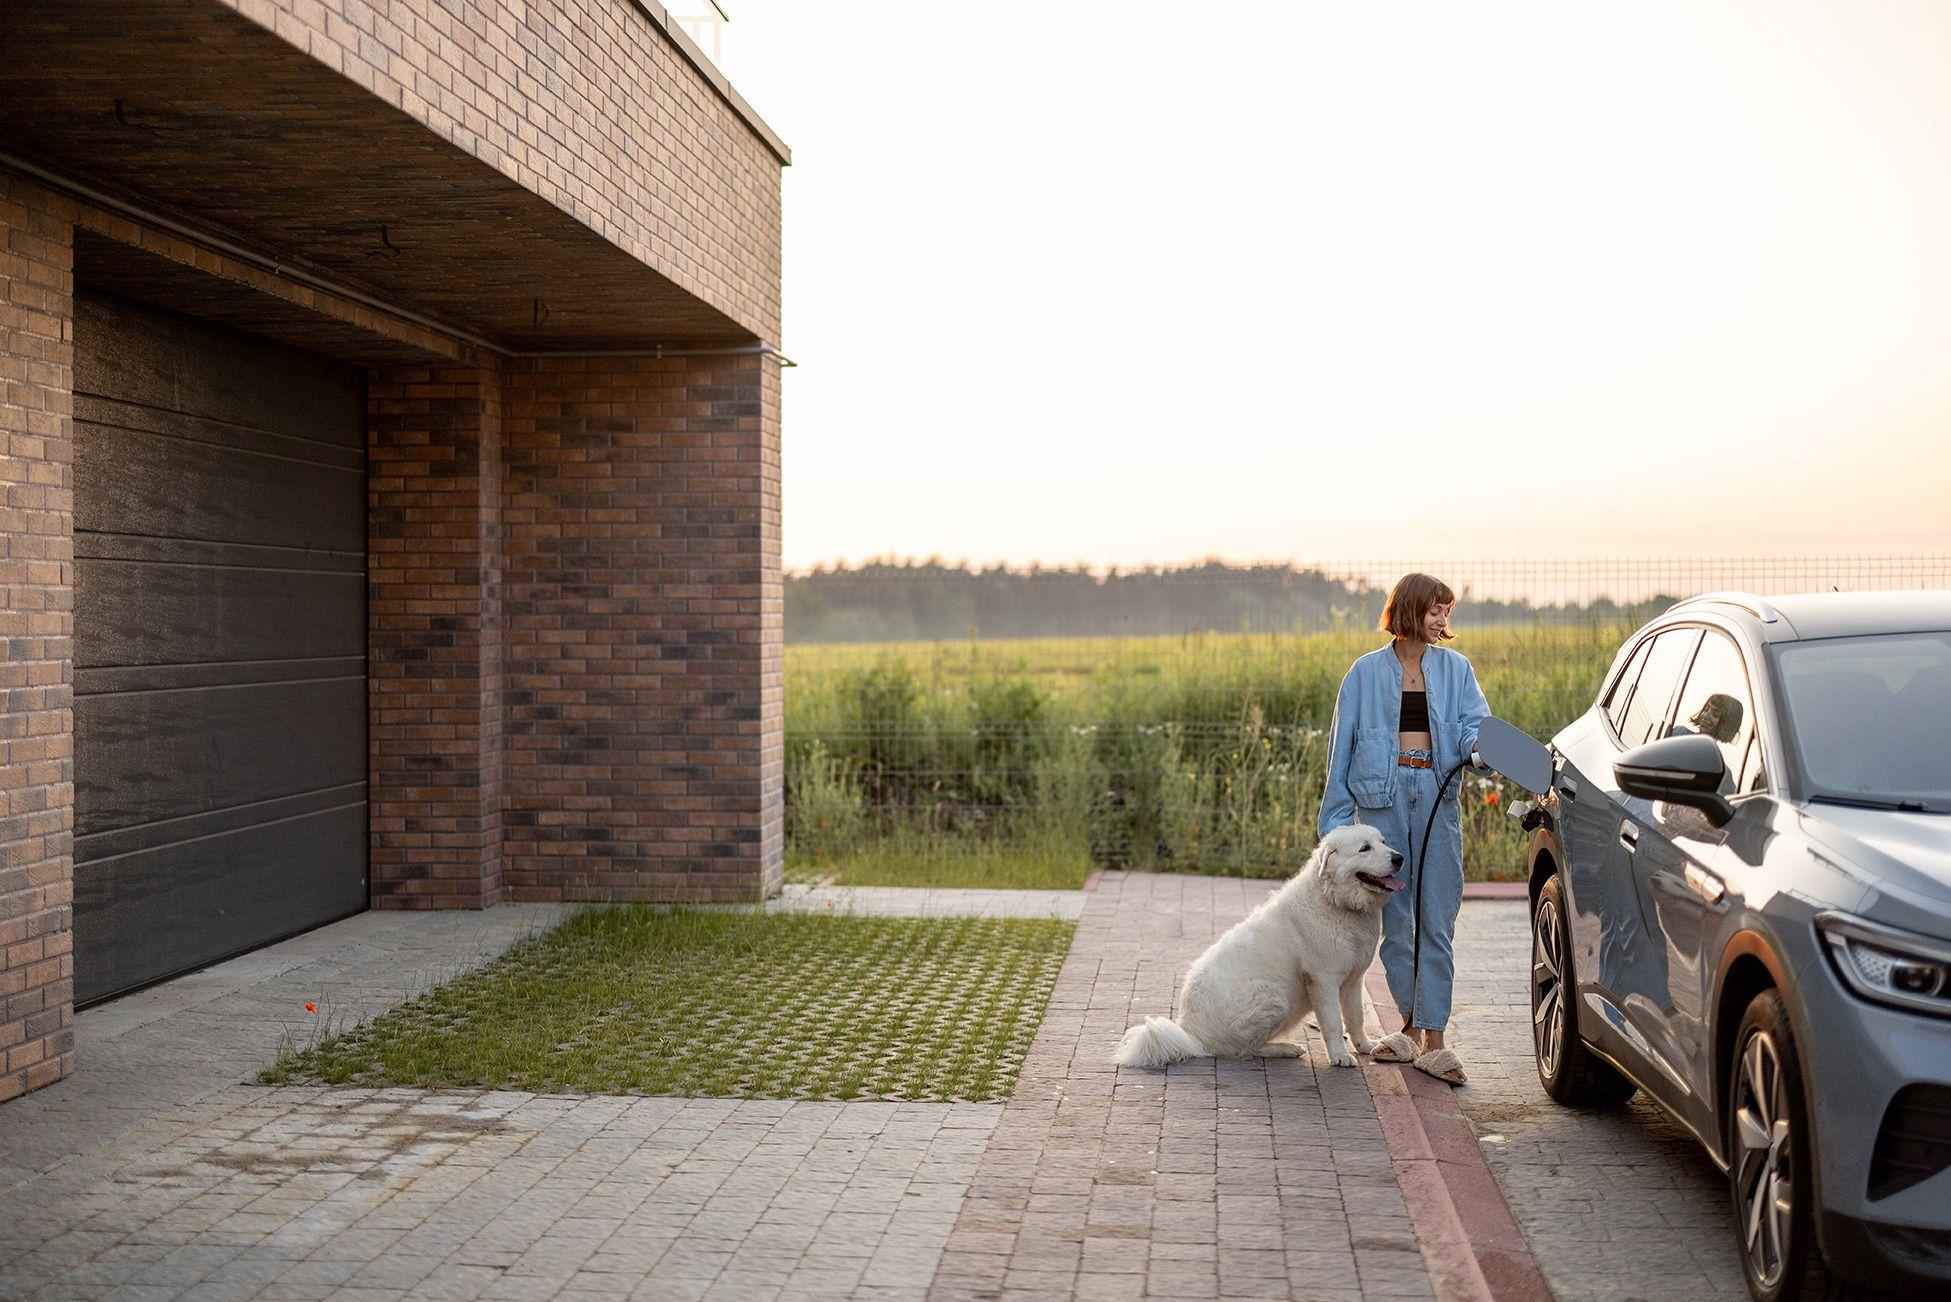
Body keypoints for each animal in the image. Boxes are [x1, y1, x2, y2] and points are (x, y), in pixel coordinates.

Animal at [1115, 823, 1404, 1069]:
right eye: (1364, 848)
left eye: (1383, 842)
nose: (1399, 858)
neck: (1335, 901)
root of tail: (1191, 1036)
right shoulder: (1323, 981)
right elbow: (1333, 1022)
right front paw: (1340, 1056)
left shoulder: (1354, 979)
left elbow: (1356, 1018)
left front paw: (1365, 1046)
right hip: (1272, 996)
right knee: (1244, 1050)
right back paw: (1286, 1048)